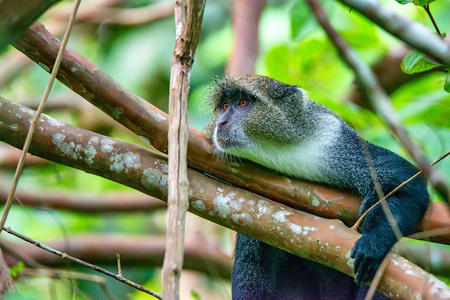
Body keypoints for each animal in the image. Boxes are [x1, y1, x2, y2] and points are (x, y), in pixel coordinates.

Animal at [204, 74, 428, 298]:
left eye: (243, 103)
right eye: (224, 106)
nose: (221, 122)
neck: (276, 151)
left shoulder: (336, 141)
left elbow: (403, 182)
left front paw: (372, 243)